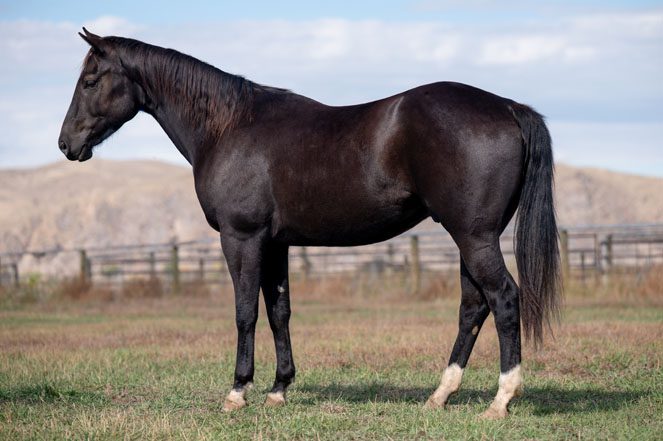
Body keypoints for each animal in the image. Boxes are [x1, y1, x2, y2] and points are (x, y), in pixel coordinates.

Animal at [59, 28, 561, 419]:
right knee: (473, 306)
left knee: (503, 298)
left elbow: (245, 312)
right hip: (471, 237)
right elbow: (279, 311)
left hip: (474, 237)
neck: (228, 127)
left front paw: (237, 391)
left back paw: (500, 400)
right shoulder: (275, 243)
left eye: (89, 80)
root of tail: (508, 107)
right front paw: (279, 389)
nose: (66, 144)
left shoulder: (242, 239)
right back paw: (441, 394)